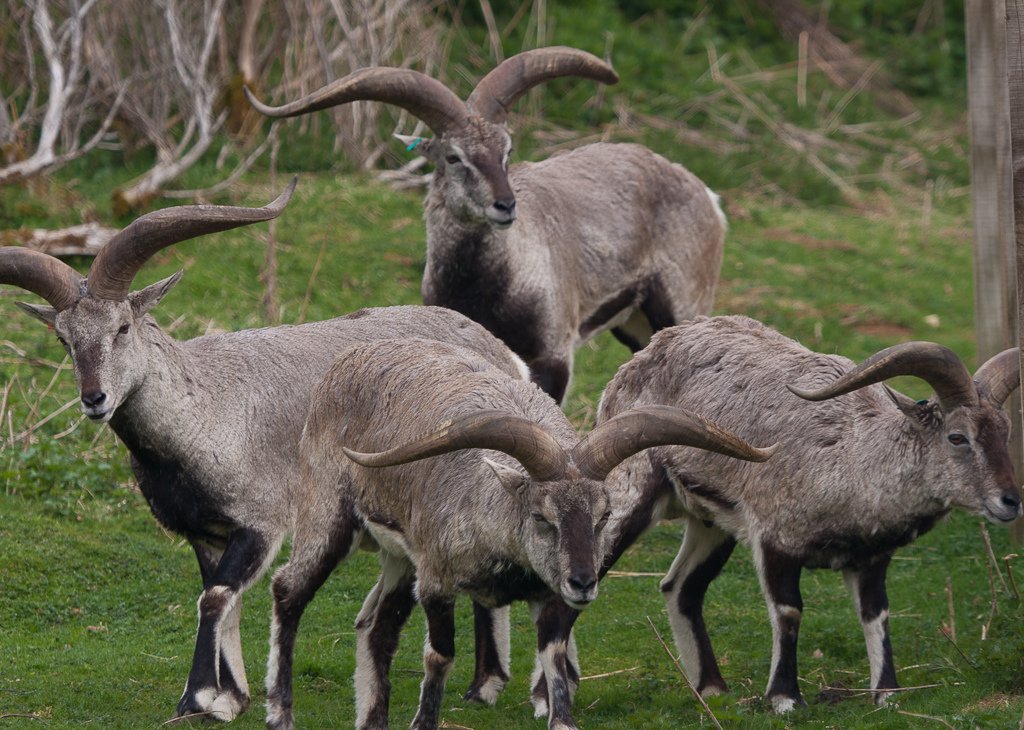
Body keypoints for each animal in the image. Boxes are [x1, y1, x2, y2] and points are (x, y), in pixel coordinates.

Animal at [0, 182, 531, 722]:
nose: (94, 398)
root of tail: (504, 355)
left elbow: (215, 597)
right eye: (64, 339)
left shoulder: (262, 521)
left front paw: (198, 697)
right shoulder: (206, 532)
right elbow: (220, 598)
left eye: (123, 327)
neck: (207, 410)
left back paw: (486, 682)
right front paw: (231, 696)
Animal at [246, 46, 727, 405]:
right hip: (635, 324)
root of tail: (706, 195)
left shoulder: (551, 356)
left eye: (506, 150)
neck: (489, 288)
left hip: (681, 305)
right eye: (454, 156)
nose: (505, 205)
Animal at [263, 337, 773, 730]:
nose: (584, 582)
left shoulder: (543, 592)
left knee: (376, 626)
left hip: (399, 557)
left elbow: (554, 652)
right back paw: (279, 712)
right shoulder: (436, 580)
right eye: (541, 516)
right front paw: (425, 720)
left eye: (604, 515)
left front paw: (561, 717)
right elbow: (439, 655)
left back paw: (371, 719)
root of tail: (349, 361)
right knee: (289, 589)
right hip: (329, 514)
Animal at [590, 315, 1021, 712]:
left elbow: (876, 614)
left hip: (711, 521)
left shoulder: (871, 558)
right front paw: (784, 698)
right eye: (957, 437)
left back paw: (711, 687)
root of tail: (644, 355)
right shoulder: (775, 539)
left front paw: (887, 694)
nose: (1010, 501)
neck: (852, 456)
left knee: (680, 587)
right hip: (631, 494)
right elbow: (789, 611)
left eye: (1006, 431)